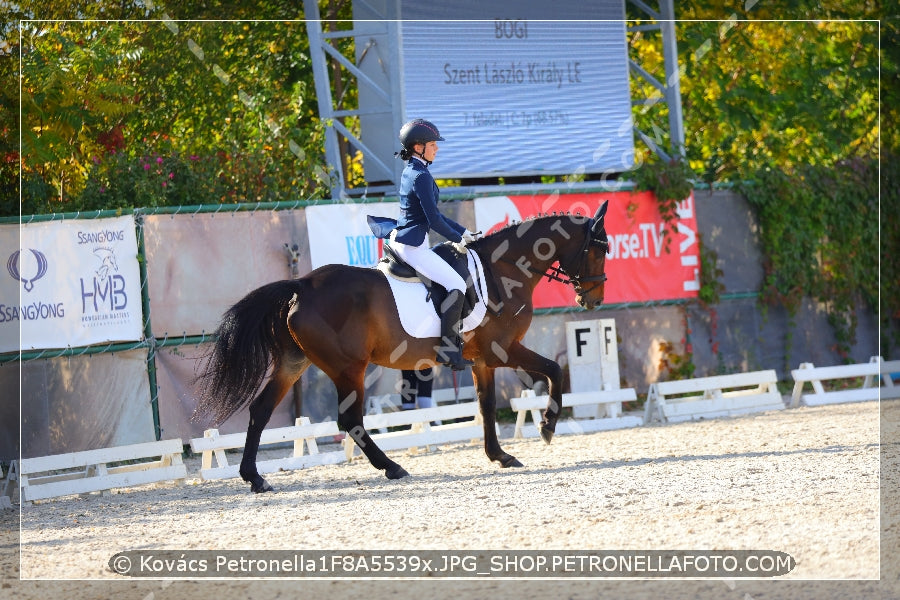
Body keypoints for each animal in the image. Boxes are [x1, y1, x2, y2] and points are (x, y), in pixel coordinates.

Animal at [191, 202, 612, 492]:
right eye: (598, 249)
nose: (593, 300)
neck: (503, 268)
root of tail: (302, 285)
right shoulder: (503, 349)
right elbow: (553, 370)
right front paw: (547, 427)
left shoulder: (482, 360)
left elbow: (487, 405)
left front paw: (500, 455)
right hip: (349, 368)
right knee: (349, 420)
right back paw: (392, 467)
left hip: (293, 364)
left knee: (261, 411)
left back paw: (255, 478)